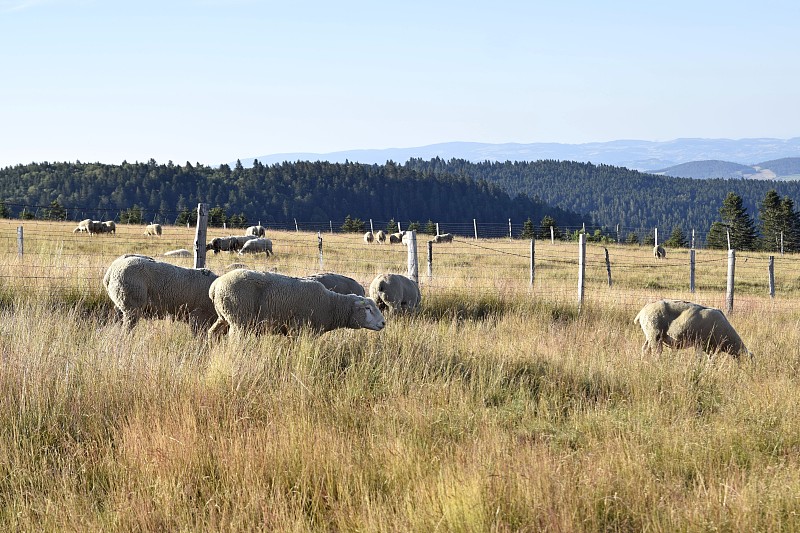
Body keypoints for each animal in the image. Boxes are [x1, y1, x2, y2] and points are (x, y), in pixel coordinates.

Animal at [208, 268, 386, 338]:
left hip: (223, 316)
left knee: (212, 332)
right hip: (239, 321)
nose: (384, 323)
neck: (331, 305)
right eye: (368, 308)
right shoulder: (299, 330)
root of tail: (215, 286)